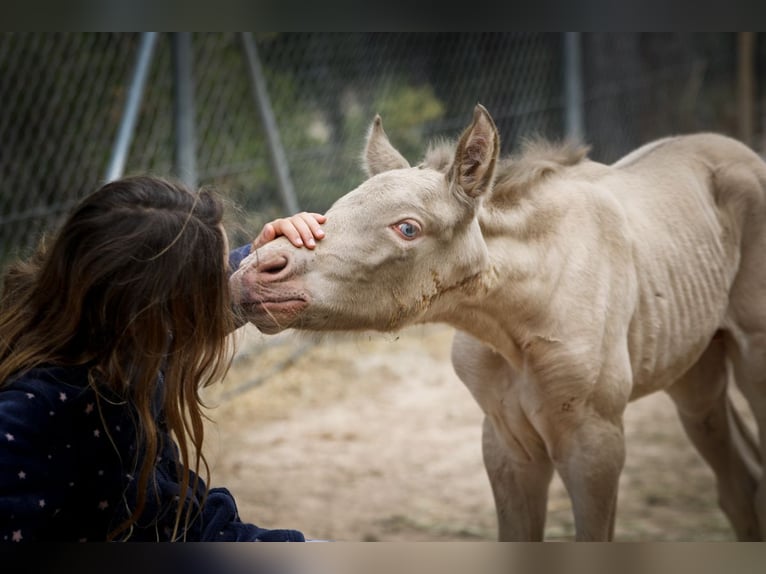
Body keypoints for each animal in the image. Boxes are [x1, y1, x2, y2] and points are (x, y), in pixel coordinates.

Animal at [230, 105, 766, 541]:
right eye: (335, 209)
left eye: (408, 227)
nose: (252, 273)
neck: (515, 319)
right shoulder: (507, 442)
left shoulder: (595, 440)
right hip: (694, 370)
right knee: (740, 483)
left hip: (750, 359)